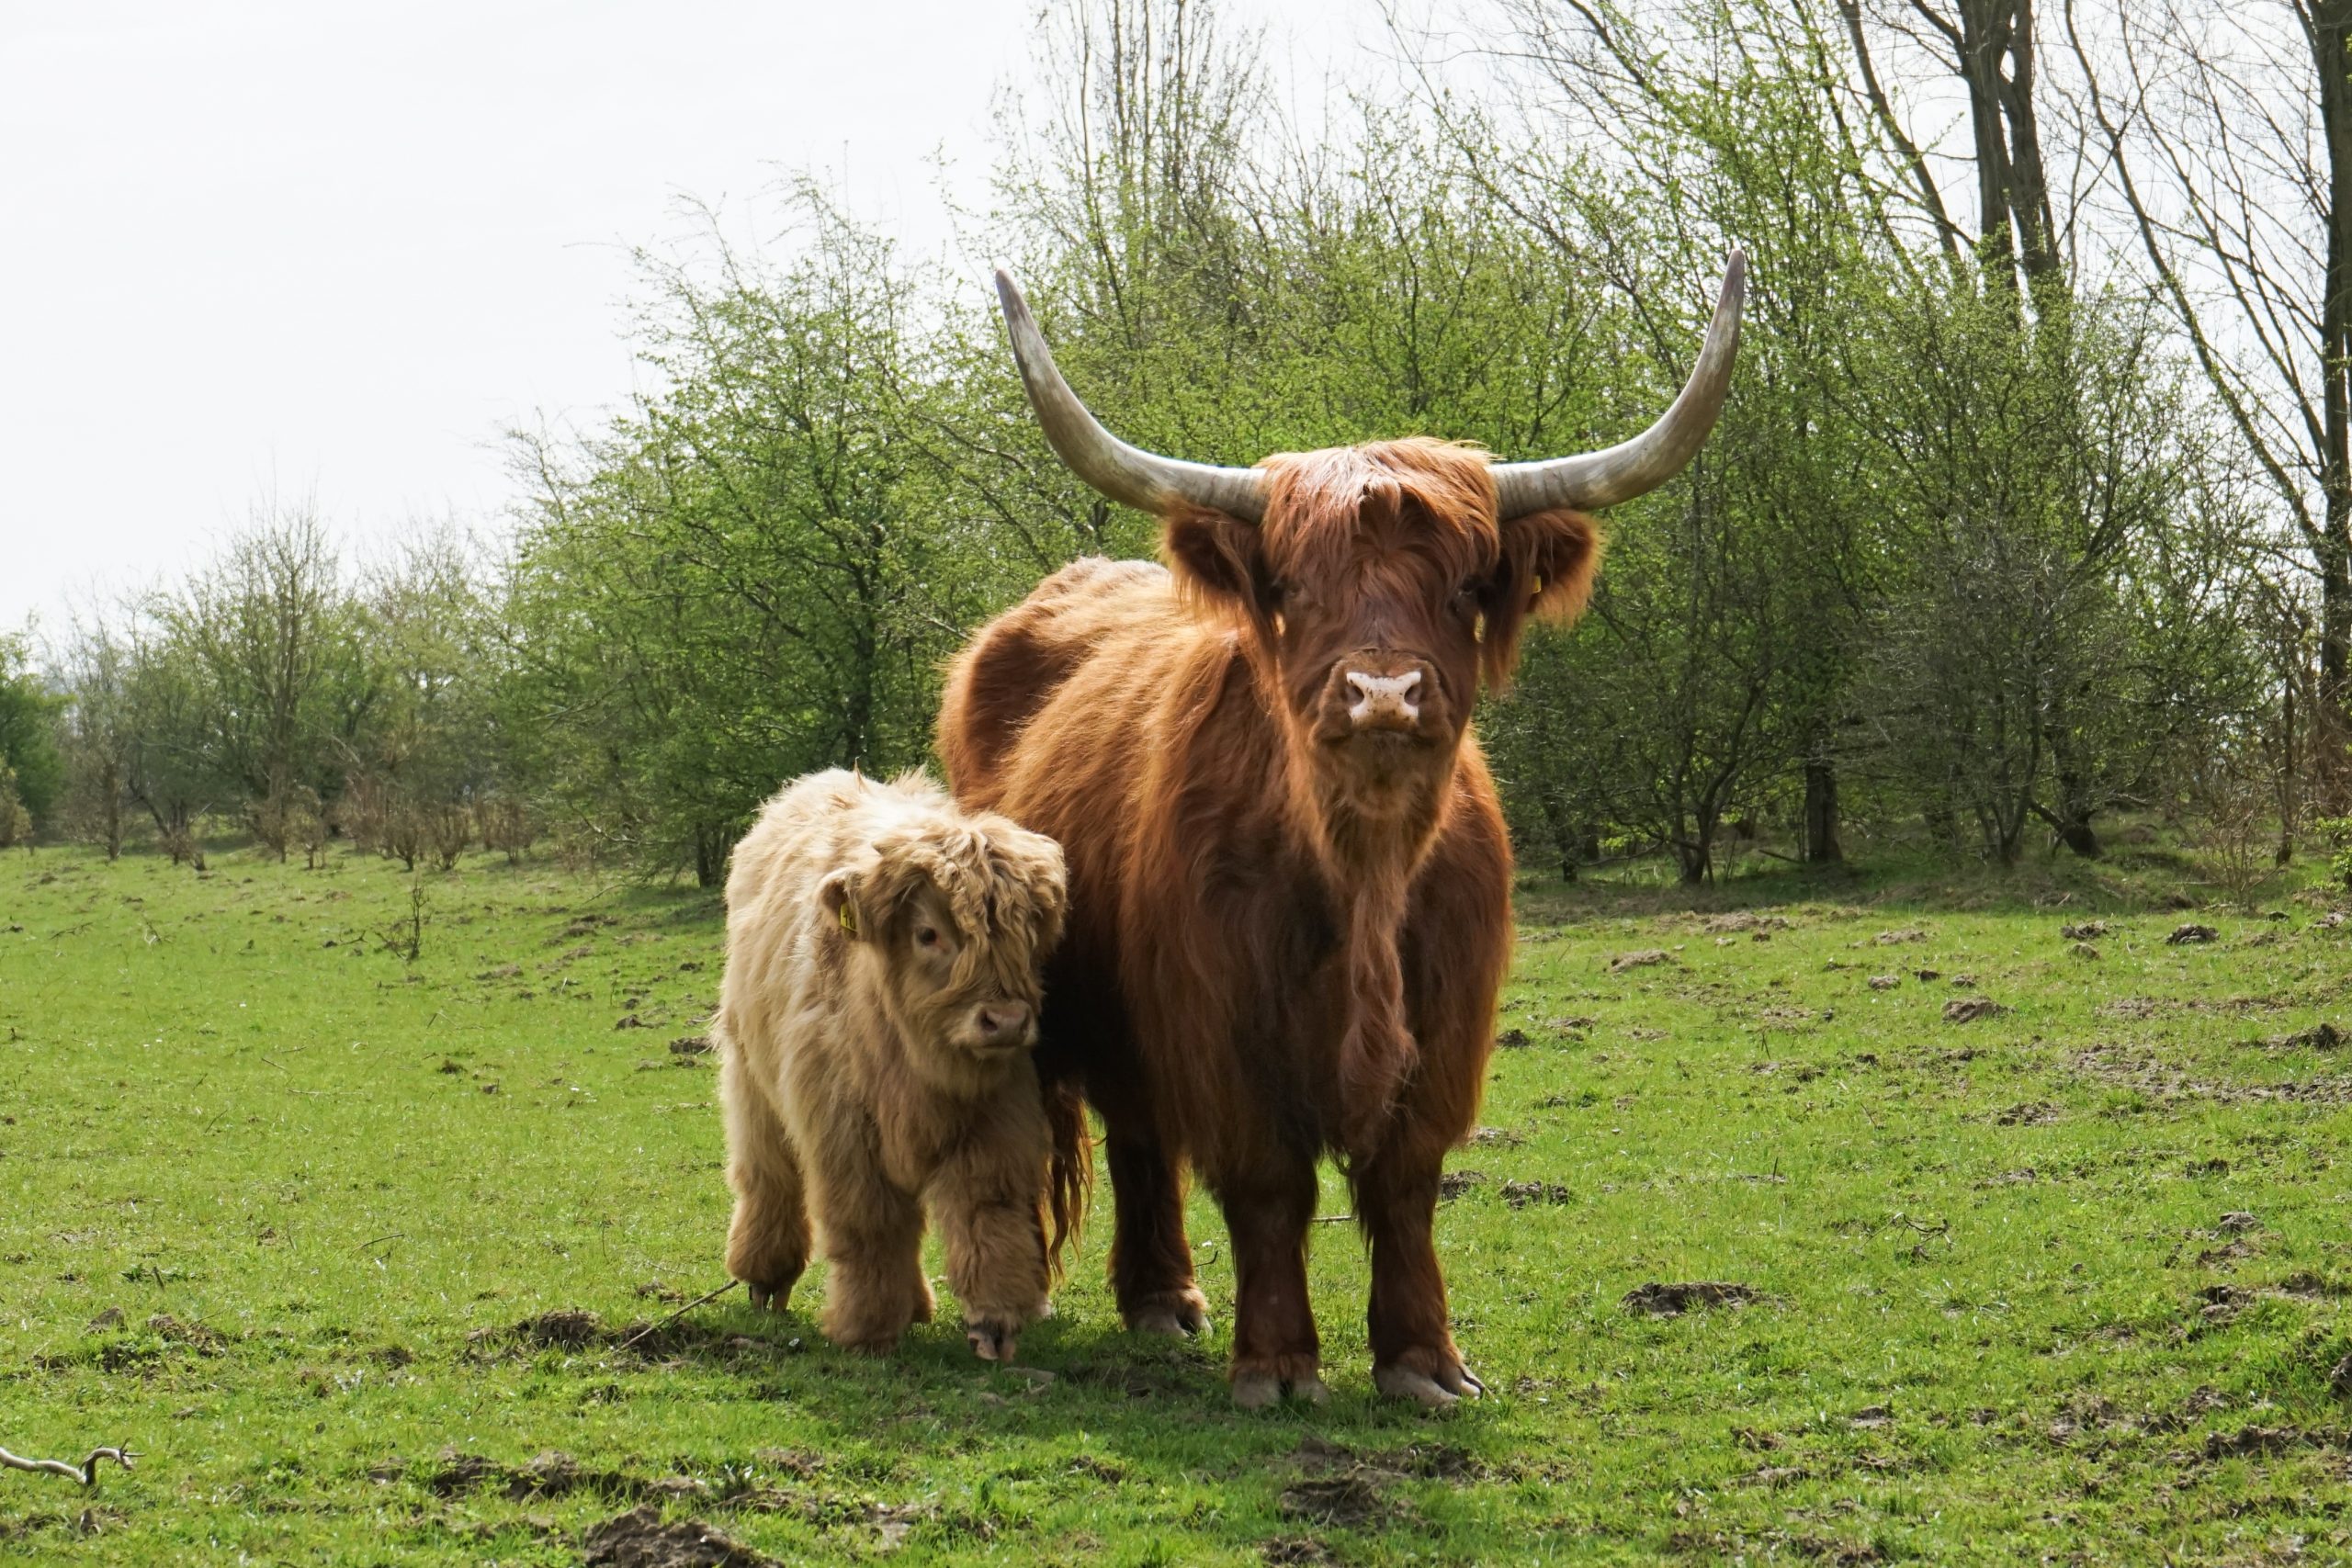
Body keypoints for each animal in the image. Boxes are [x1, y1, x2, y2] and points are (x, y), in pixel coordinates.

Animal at [715, 771, 1077, 1363]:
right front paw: (869, 1330)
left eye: (1025, 934)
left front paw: (994, 1321)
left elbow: (987, 1212)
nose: (1004, 1020)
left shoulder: (996, 1119)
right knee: (768, 1176)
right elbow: (870, 1226)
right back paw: (766, 1278)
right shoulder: (842, 1133)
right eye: (928, 933)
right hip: (751, 1080)